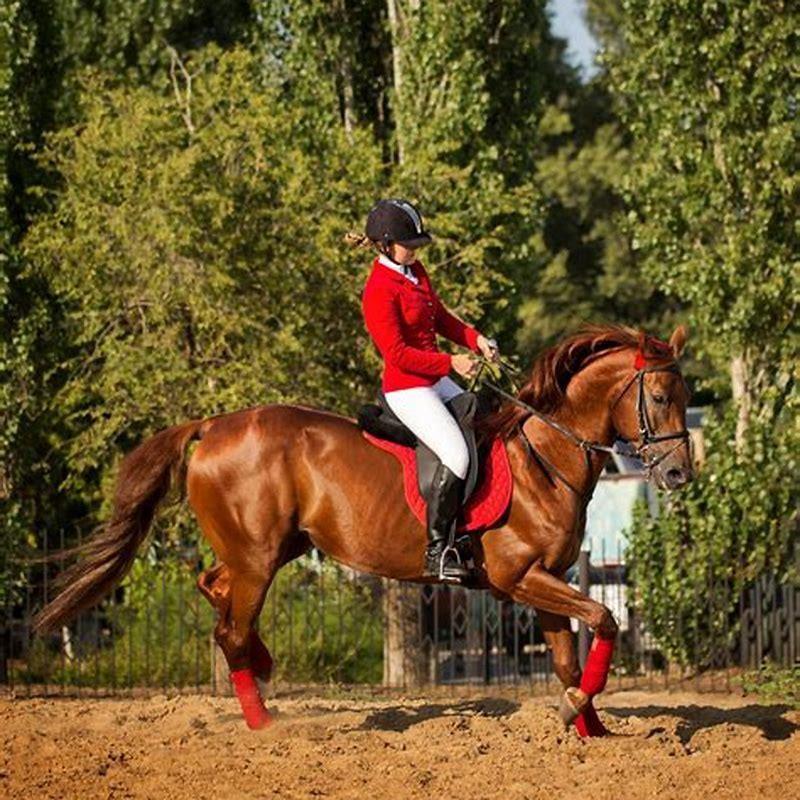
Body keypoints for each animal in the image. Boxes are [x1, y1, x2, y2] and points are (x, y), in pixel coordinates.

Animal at [34, 323, 693, 736]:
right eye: (661, 396)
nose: (680, 473)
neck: (543, 455)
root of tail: (214, 424)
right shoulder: (520, 578)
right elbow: (604, 619)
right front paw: (581, 710)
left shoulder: (546, 579)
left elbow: (565, 657)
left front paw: (589, 728)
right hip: (259, 557)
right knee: (230, 626)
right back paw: (264, 723)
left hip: (272, 548)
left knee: (213, 589)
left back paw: (263, 668)